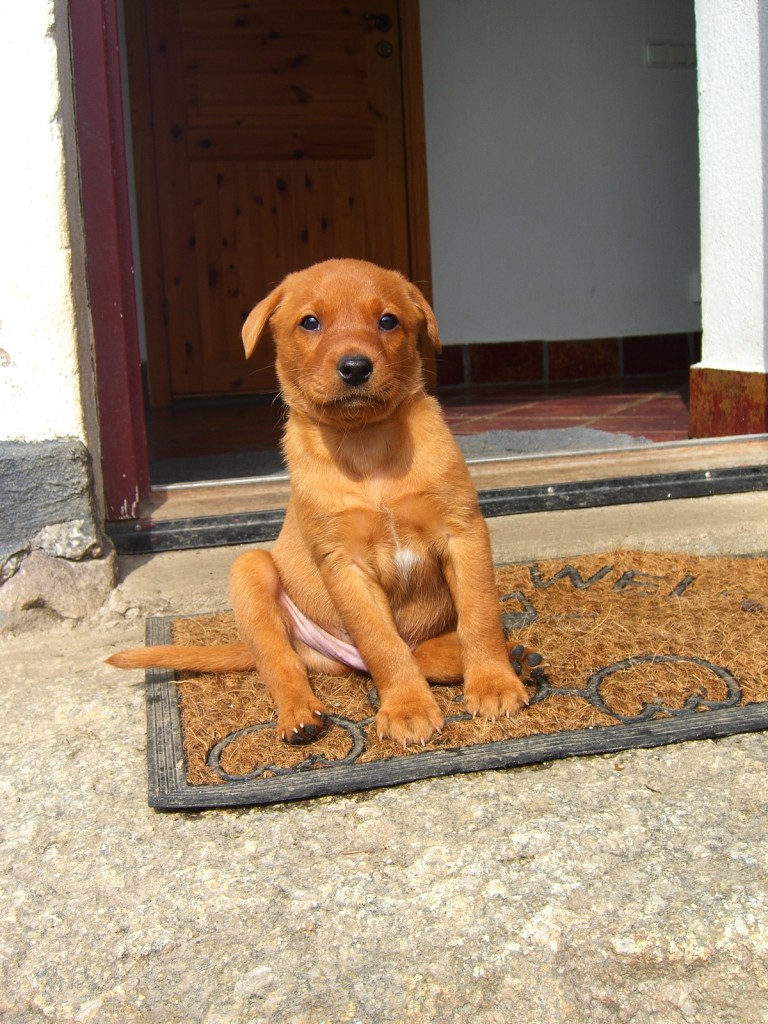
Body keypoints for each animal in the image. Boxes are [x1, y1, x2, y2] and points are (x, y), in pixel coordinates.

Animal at [111, 260, 532, 749]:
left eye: (388, 321)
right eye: (310, 322)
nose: (355, 367)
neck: (366, 445)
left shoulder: (463, 531)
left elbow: (479, 617)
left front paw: (494, 684)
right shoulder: (343, 563)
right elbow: (382, 645)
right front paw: (407, 708)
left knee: (428, 652)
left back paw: (519, 660)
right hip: (251, 571)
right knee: (284, 662)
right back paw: (300, 715)